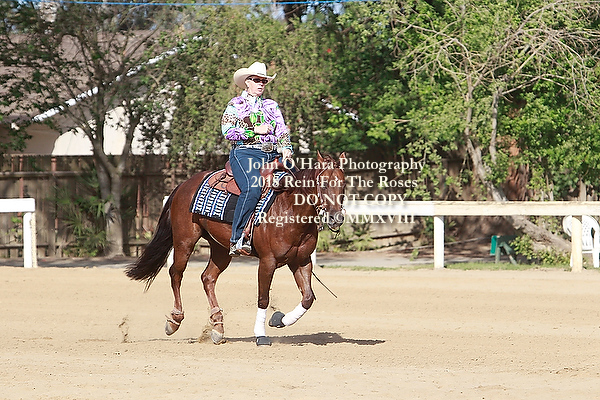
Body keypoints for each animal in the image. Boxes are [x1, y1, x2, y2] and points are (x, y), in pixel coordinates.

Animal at [125, 151, 347, 346]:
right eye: (324, 183)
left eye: (344, 184)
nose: (336, 218)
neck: (289, 208)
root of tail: (184, 184)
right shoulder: (267, 262)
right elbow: (263, 298)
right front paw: (260, 335)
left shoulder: (301, 261)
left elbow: (308, 297)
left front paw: (278, 319)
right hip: (184, 241)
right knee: (176, 273)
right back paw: (175, 320)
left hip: (220, 249)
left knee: (208, 278)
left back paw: (217, 327)